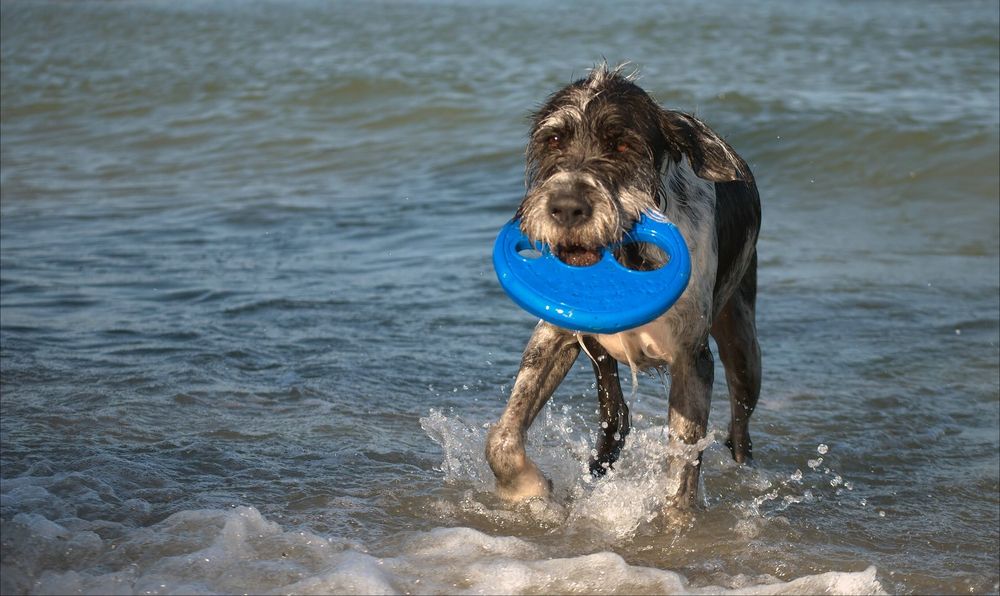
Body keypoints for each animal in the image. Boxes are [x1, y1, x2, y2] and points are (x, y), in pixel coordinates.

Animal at [484, 65, 756, 512]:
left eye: (623, 144)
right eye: (553, 140)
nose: (566, 207)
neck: (627, 257)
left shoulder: (691, 359)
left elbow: (680, 476)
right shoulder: (554, 331)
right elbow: (502, 438)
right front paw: (529, 489)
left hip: (744, 345)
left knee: (740, 430)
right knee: (617, 416)